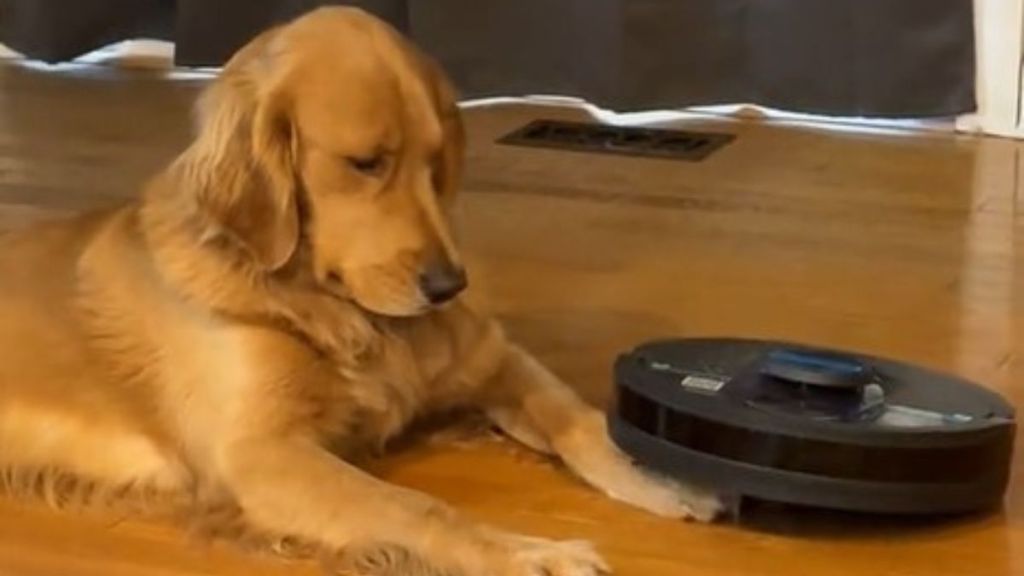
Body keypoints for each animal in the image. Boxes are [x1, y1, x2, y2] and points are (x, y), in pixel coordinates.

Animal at [0, 5, 720, 573]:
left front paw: (656, 476)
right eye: (366, 163)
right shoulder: (259, 455)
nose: (449, 286)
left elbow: (579, 419)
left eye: (436, 161)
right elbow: (417, 508)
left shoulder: (489, 357)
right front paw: (528, 553)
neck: (328, 306)